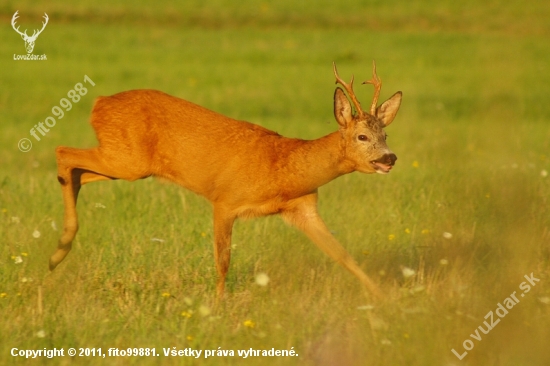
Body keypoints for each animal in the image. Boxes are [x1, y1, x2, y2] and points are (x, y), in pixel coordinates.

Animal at [50, 61, 402, 298]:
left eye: (385, 134)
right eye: (361, 136)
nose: (389, 158)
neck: (284, 167)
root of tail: (99, 103)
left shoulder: (302, 209)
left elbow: (343, 255)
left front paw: (384, 300)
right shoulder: (225, 200)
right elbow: (223, 261)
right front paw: (217, 306)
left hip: (125, 163)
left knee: (76, 172)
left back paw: (58, 253)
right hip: (127, 160)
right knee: (63, 152)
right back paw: (59, 252)